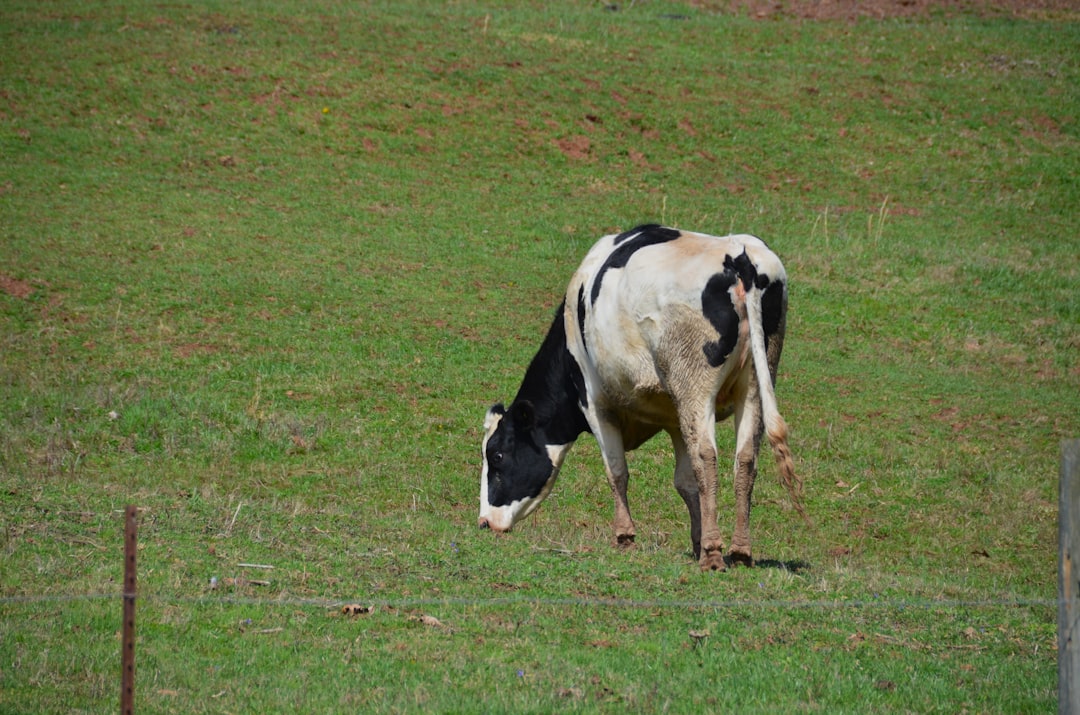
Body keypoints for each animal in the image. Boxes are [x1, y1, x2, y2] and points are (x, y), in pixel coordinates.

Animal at [479, 224, 805, 571]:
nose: (485, 522)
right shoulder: (675, 417)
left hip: (695, 386)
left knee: (706, 457)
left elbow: (617, 471)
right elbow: (685, 482)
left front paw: (625, 536)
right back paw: (740, 551)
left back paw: (713, 554)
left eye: (497, 455)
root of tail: (738, 254)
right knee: (744, 460)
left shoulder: (596, 403)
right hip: (755, 381)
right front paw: (697, 540)